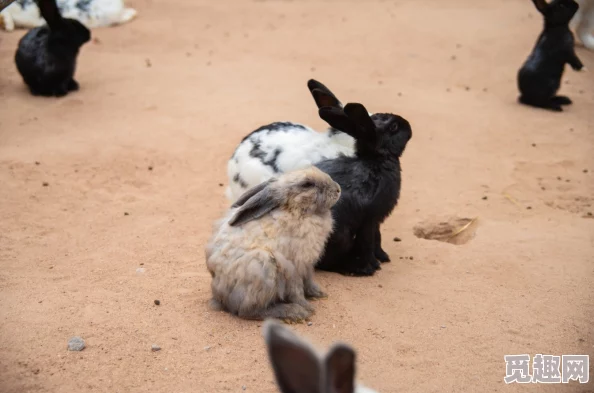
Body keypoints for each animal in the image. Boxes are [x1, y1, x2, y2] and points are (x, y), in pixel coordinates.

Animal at [314, 103, 412, 276]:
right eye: (394, 127)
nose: (409, 126)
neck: (376, 159)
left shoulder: (375, 221)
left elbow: (377, 239)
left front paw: (383, 258)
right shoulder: (370, 219)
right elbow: (368, 243)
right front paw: (371, 267)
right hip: (342, 236)